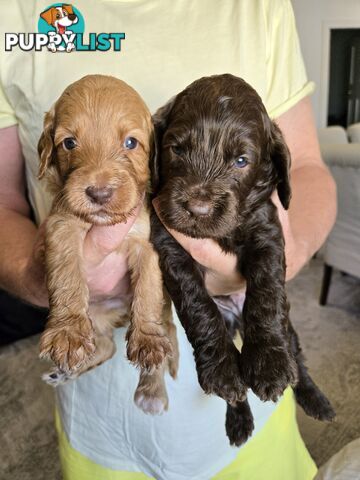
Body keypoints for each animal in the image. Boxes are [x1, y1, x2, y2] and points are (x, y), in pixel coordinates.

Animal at [38, 76, 179, 416]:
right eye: (69, 143)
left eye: (130, 143)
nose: (99, 193)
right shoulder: (62, 226)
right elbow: (67, 275)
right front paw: (67, 332)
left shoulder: (148, 242)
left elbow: (148, 291)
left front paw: (147, 340)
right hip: (95, 315)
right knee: (105, 346)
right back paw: (65, 371)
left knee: (164, 336)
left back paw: (151, 391)